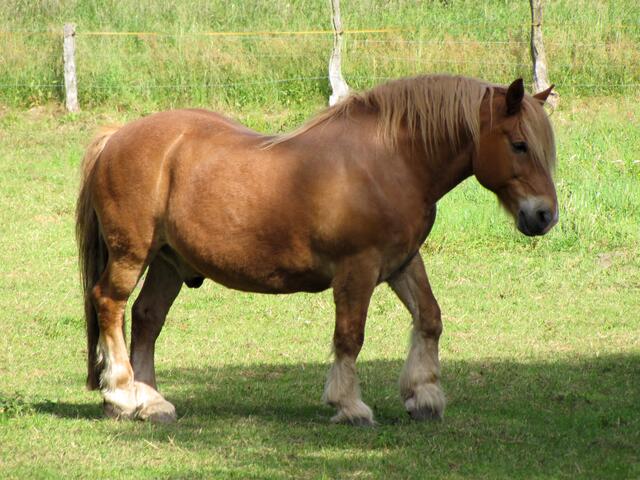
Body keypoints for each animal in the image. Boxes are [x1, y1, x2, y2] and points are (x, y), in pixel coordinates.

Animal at [76, 74, 557, 425]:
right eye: (519, 144)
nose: (544, 215)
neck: (390, 161)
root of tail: (116, 136)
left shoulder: (401, 262)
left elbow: (430, 318)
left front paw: (423, 394)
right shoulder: (357, 270)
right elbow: (350, 336)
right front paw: (348, 405)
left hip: (169, 263)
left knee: (146, 319)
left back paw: (150, 402)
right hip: (132, 255)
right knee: (110, 305)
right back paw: (123, 394)